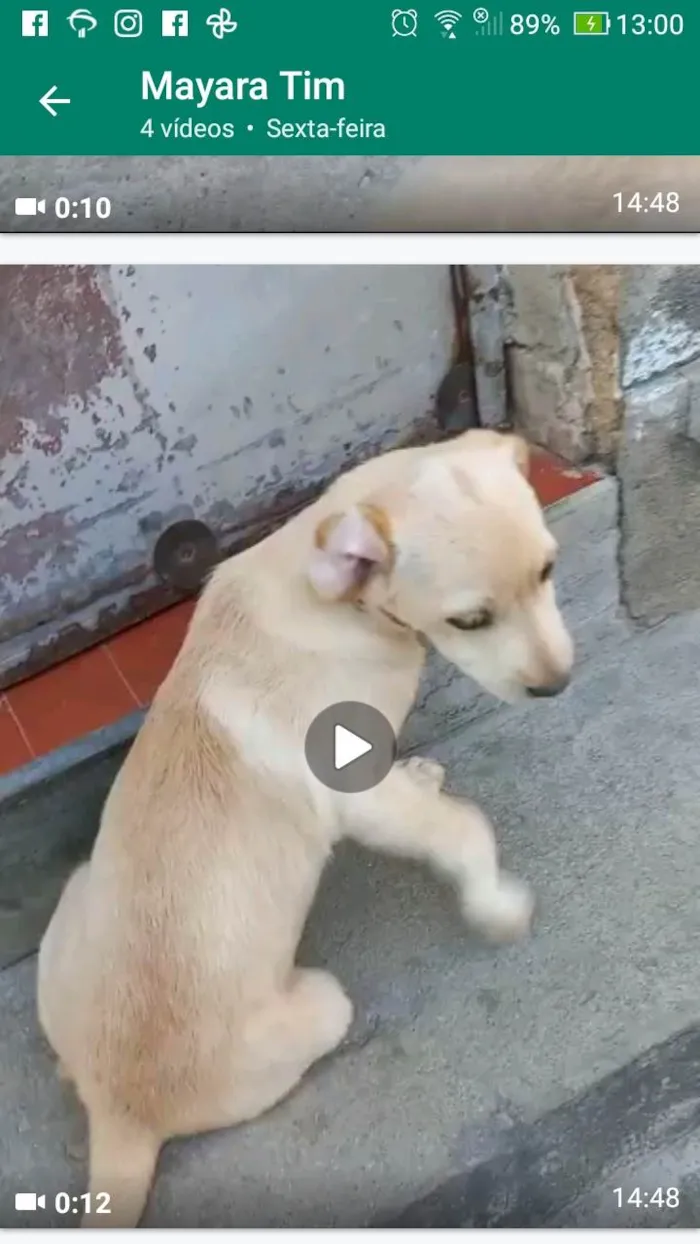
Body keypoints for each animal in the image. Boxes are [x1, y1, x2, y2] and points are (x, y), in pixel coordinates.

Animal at [38, 427, 571, 1224]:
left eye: (548, 570)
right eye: (469, 620)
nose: (557, 686)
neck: (339, 604)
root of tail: (119, 1113)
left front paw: (425, 778)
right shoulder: (358, 791)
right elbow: (462, 830)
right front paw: (494, 902)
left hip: (73, 902)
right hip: (324, 1002)